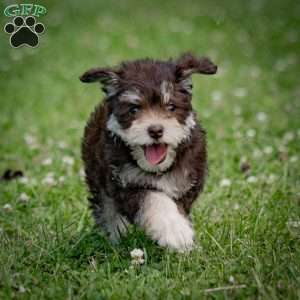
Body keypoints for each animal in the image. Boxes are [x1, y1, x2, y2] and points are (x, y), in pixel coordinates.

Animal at [79, 53, 216, 251]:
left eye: (171, 107)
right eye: (134, 109)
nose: (156, 130)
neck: (158, 169)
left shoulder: (186, 183)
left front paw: (182, 236)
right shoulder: (126, 183)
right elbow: (154, 198)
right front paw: (174, 231)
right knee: (107, 209)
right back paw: (116, 238)